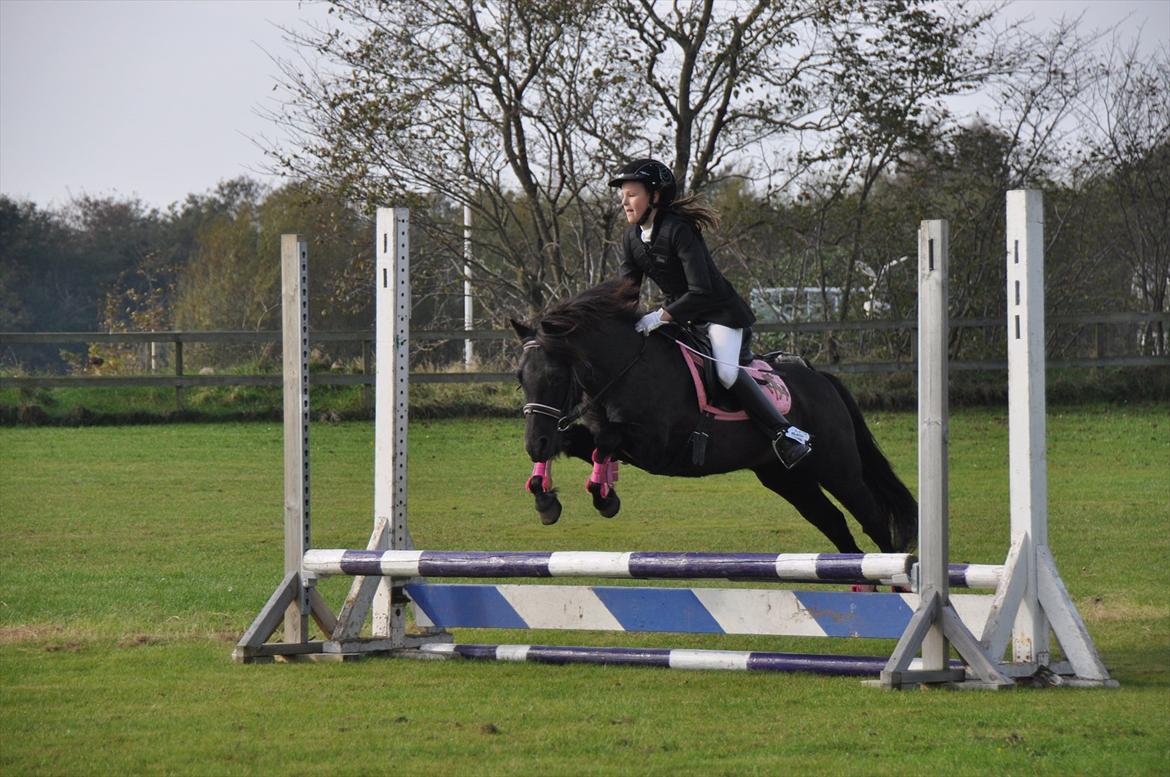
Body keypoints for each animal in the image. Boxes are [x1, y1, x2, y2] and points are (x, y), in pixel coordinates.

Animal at [512, 282, 921, 554]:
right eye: (520, 377)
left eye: (556, 377)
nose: (534, 443)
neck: (626, 368)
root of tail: (822, 379)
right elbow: (580, 442)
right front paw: (545, 497)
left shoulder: (656, 448)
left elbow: (606, 442)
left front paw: (602, 497)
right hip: (786, 479)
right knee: (834, 523)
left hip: (838, 470)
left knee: (873, 519)